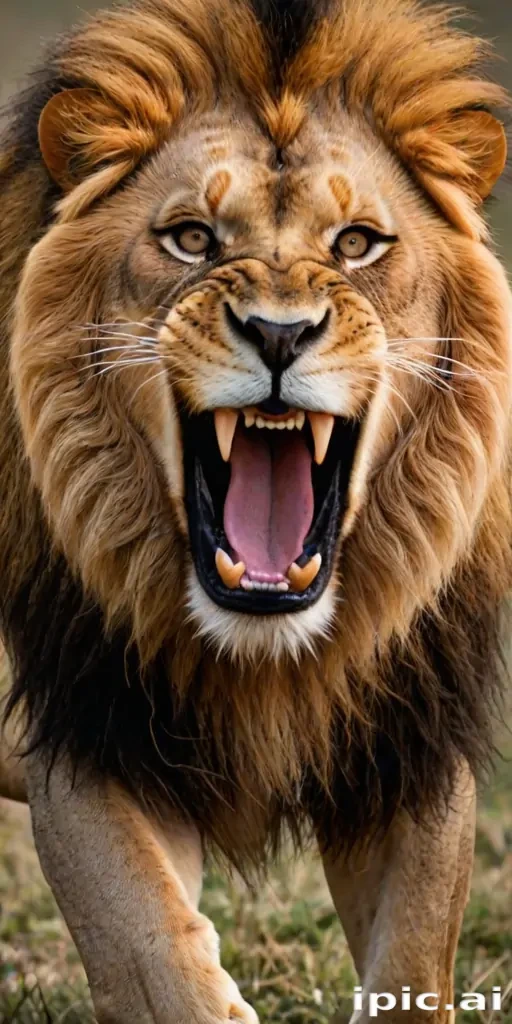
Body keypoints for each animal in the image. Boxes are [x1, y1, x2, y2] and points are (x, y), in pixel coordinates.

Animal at [0, 0, 510, 1020]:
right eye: (193, 239)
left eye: (356, 243)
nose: (279, 334)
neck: (267, 660)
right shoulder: (84, 732)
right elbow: (158, 957)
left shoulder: (413, 746)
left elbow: (414, 964)